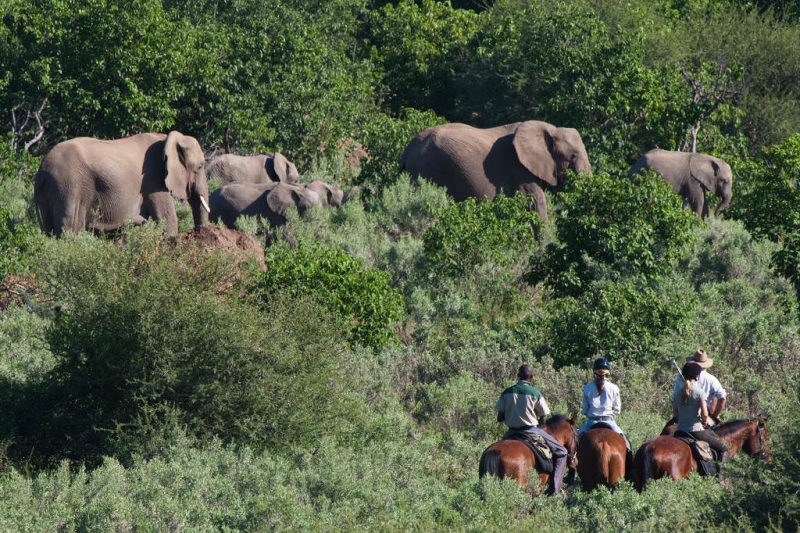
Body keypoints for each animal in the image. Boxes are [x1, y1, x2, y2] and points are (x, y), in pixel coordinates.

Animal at [33, 130, 211, 236]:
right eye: (200, 166)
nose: (199, 233)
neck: (166, 139)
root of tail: (42, 171)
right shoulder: (153, 180)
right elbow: (167, 219)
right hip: (69, 186)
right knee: (70, 227)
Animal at [400, 120, 592, 220]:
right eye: (573, 156)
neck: (550, 129)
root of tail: (407, 151)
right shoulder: (518, 168)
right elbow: (536, 202)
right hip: (429, 169)